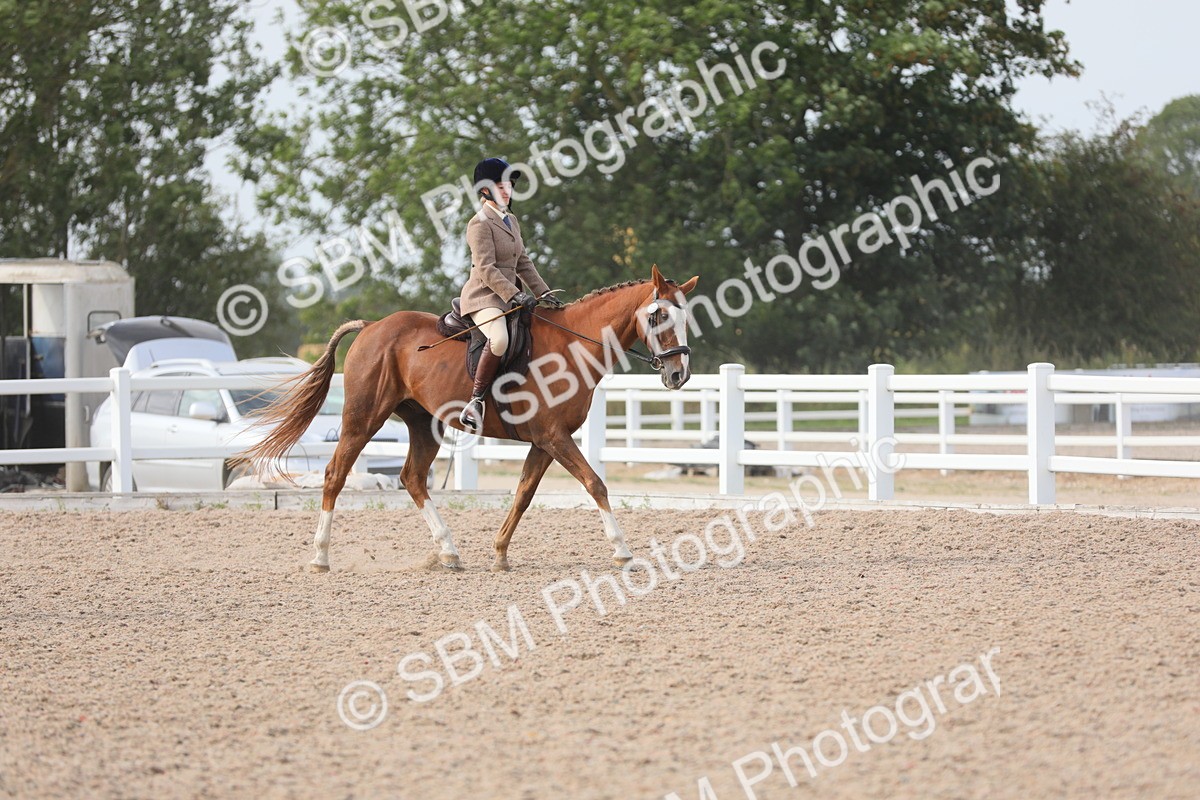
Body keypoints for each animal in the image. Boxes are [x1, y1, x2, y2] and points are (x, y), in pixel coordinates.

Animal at [240, 265, 700, 573]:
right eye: (658, 315)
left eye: (685, 317)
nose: (679, 375)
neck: (572, 346)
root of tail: (372, 326)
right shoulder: (554, 436)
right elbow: (595, 484)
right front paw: (622, 550)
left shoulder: (545, 441)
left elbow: (523, 494)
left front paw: (499, 554)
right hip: (363, 417)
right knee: (336, 473)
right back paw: (320, 556)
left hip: (423, 423)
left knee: (412, 477)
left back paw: (449, 551)